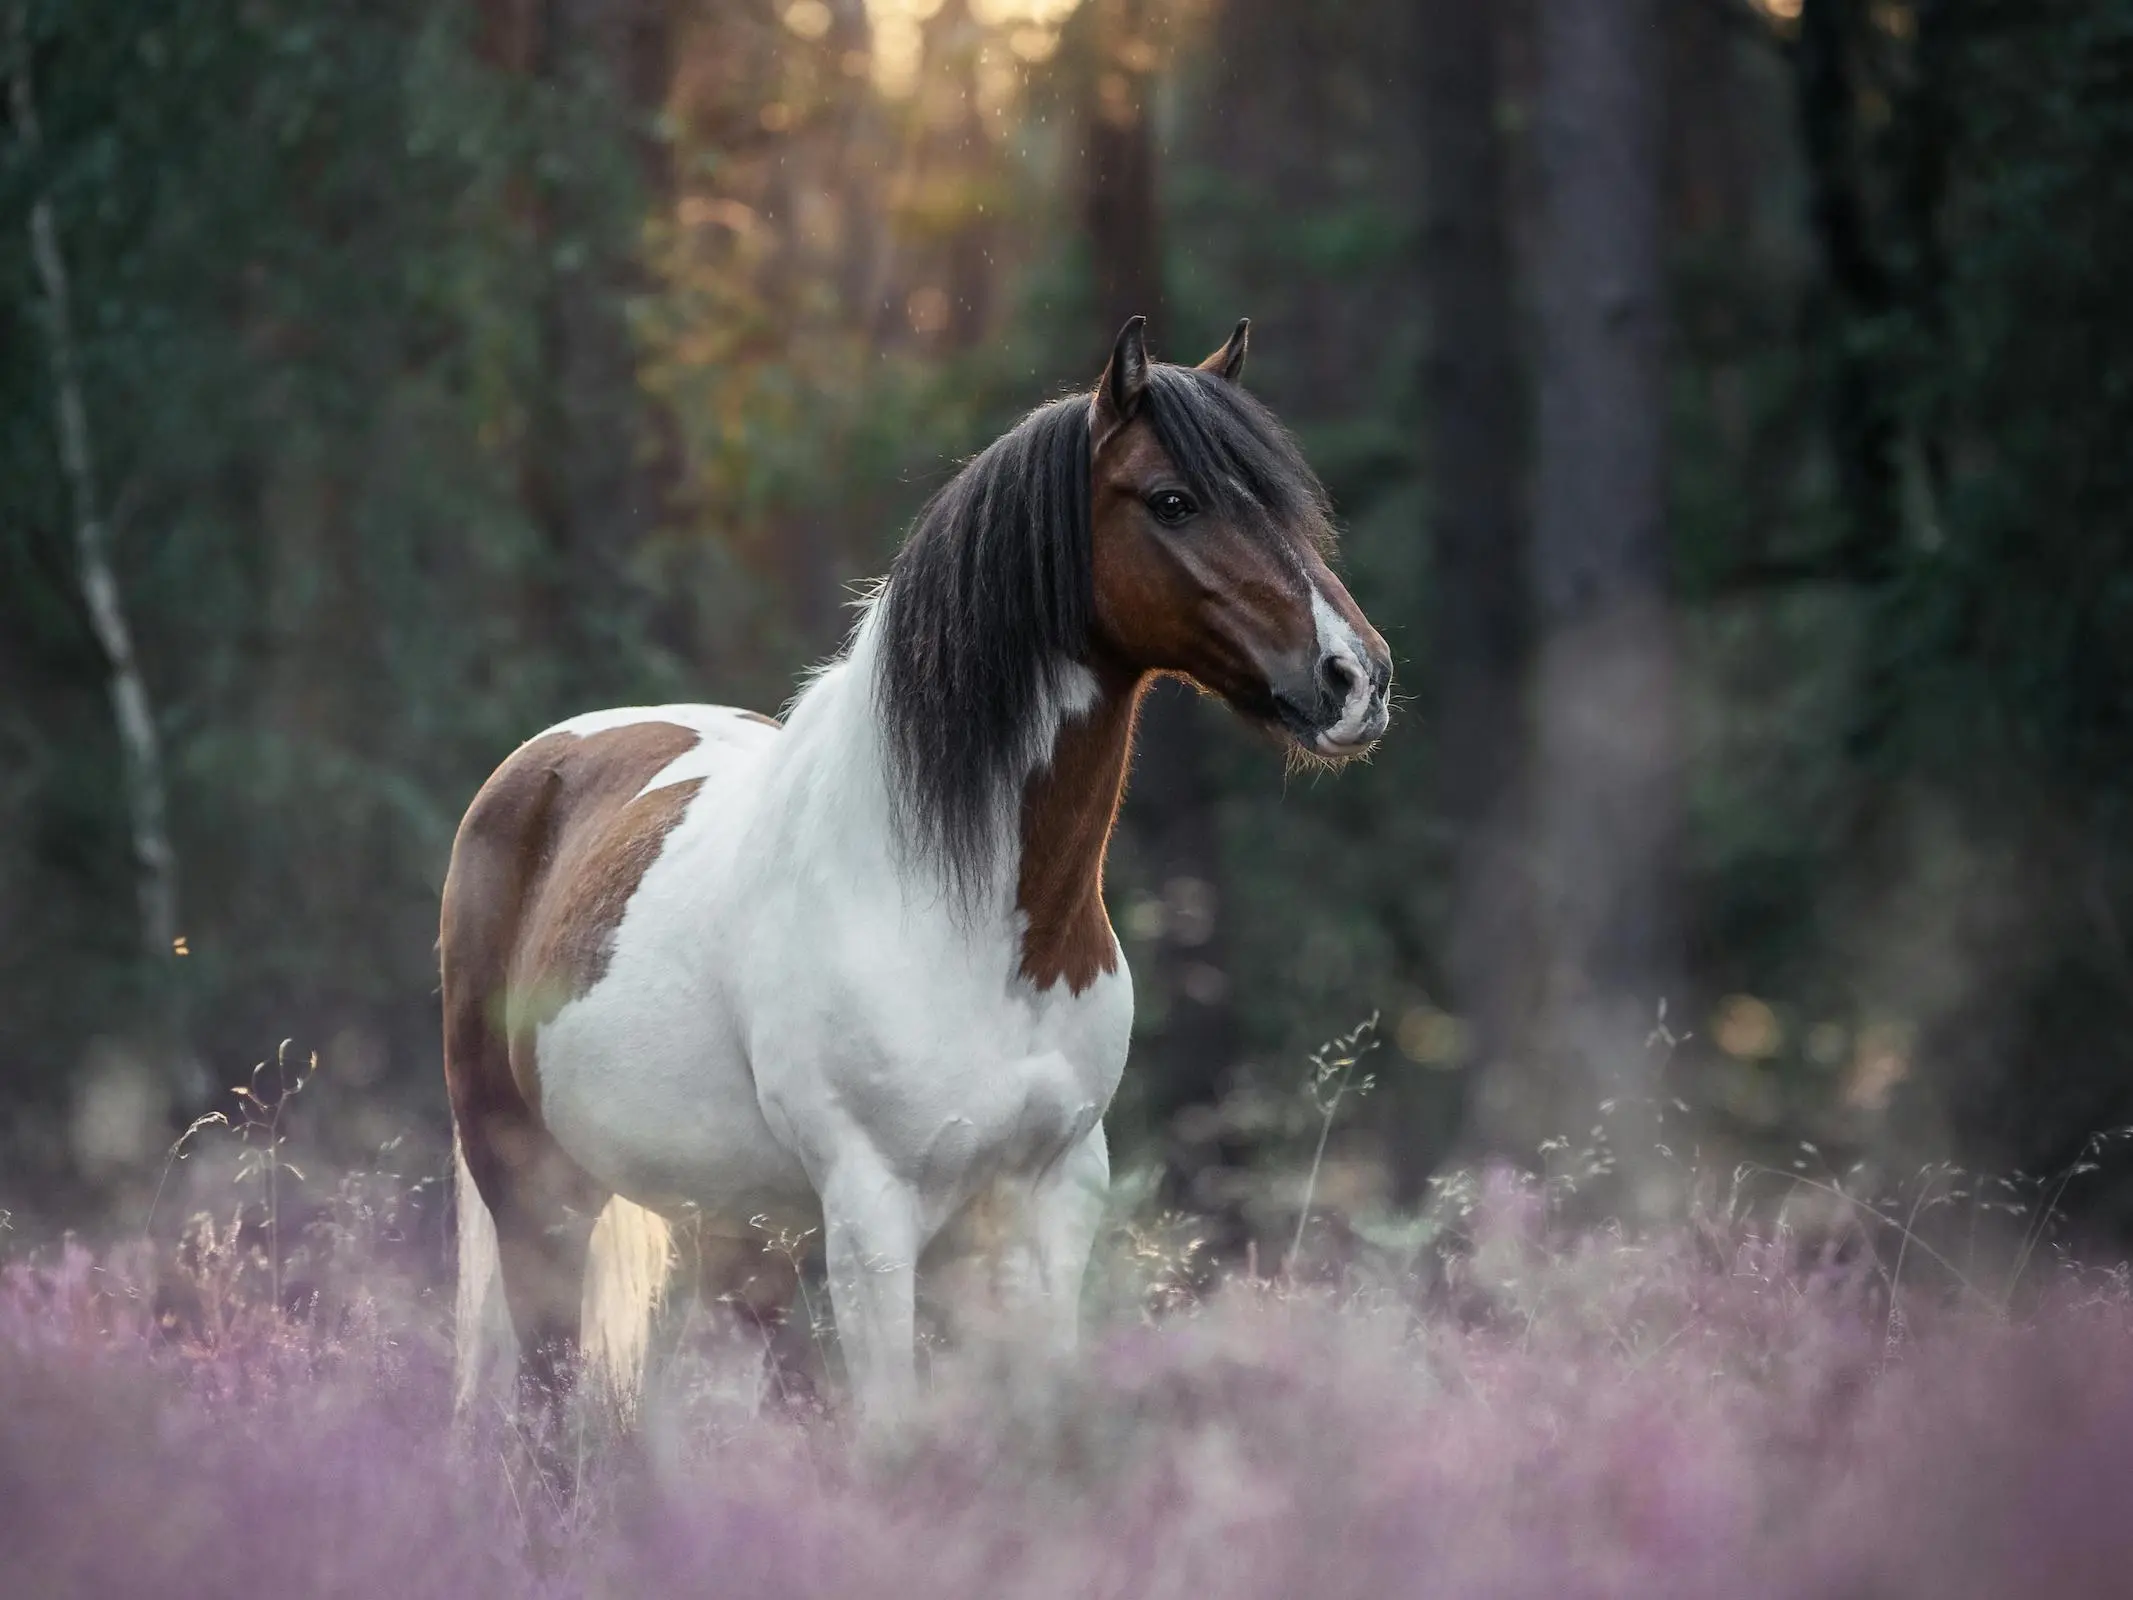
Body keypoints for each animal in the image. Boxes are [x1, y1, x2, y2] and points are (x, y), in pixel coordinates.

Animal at [441, 315, 1390, 1425]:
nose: (1355, 679)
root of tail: (539, 766)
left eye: (1283, 498)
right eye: (1172, 500)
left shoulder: (1050, 1200)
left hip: (736, 1228)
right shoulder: (872, 1216)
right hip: (535, 1192)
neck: (961, 912)